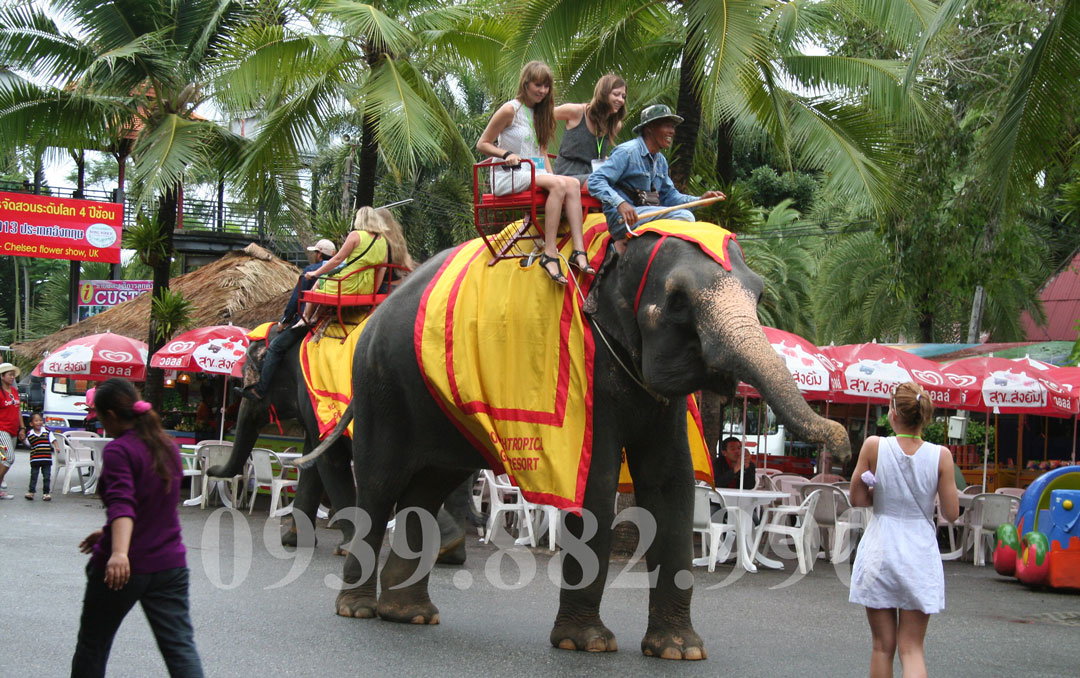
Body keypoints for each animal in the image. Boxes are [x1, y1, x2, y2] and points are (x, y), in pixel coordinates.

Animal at [308, 226, 846, 656]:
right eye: (677, 299)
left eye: (759, 292)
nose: (842, 441)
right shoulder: (588, 374)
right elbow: (596, 484)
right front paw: (586, 645)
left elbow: (671, 485)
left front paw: (680, 651)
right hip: (381, 389)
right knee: (380, 485)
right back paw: (357, 610)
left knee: (428, 488)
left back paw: (409, 615)